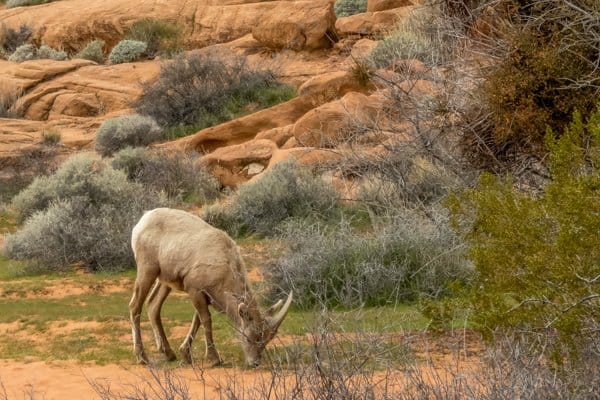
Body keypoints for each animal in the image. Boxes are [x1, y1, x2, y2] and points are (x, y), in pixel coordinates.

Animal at [129, 208, 292, 368]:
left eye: (266, 340)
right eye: (248, 338)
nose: (255, 363)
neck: (225, 267)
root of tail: (141, 222)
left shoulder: (204, 295)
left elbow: (197, 320)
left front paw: (186, 354)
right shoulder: (194, 290)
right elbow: (206, 320)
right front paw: (215, 359)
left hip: (164, 280)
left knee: (153, 305)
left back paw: (169, 353)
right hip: (147, 270)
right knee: (135, 306)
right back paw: (142, 357)